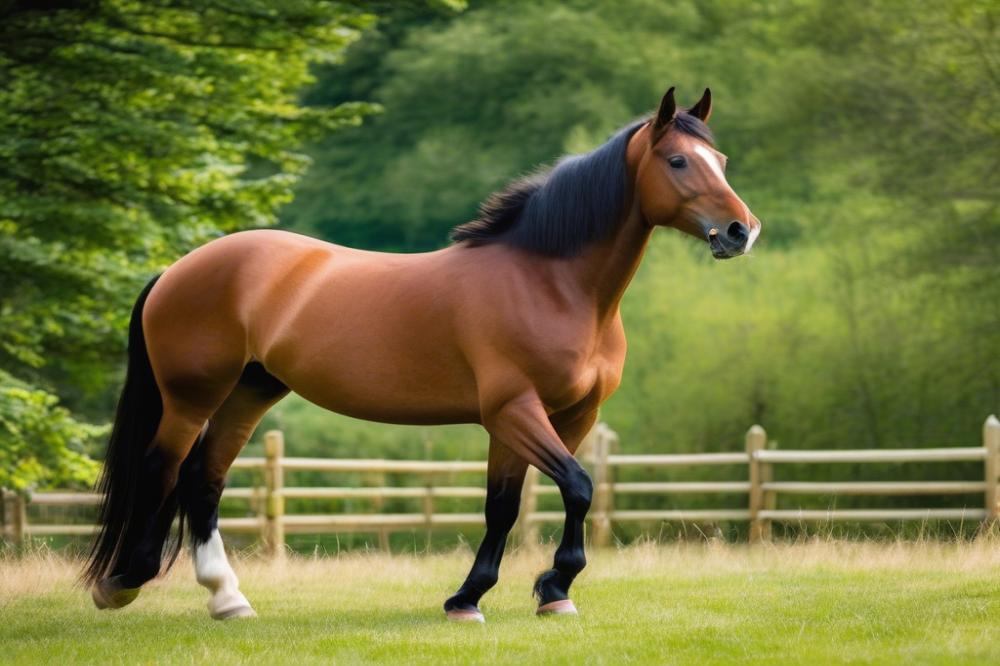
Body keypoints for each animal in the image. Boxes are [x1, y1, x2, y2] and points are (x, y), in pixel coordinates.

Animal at [83, 86, 761, 622]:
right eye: (677, 159)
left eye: (721, 160)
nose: (741, 232)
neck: (549, 283)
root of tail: (180, 268)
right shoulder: (514, 411)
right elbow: (576, 485)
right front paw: (525, 588)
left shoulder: (563, 417)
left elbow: (511, 504)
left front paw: (511, 595)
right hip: (191, 397)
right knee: (163, 469)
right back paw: (124, 583)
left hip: (251, 391)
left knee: (204, 478)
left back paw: (228, 599)